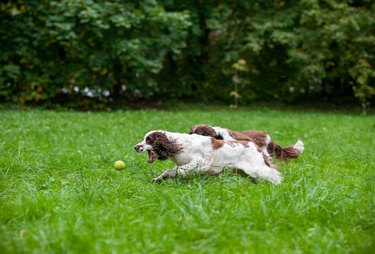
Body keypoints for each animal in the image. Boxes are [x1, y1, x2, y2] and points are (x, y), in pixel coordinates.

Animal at [134, 131, 284, 185]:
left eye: (148, 140)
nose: (135, 147)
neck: (178, 144)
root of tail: (255, 146)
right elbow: (169, 171)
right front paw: (157, 179)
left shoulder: (201, 161)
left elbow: (181, 171)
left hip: (257, 169)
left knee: (274, 175)